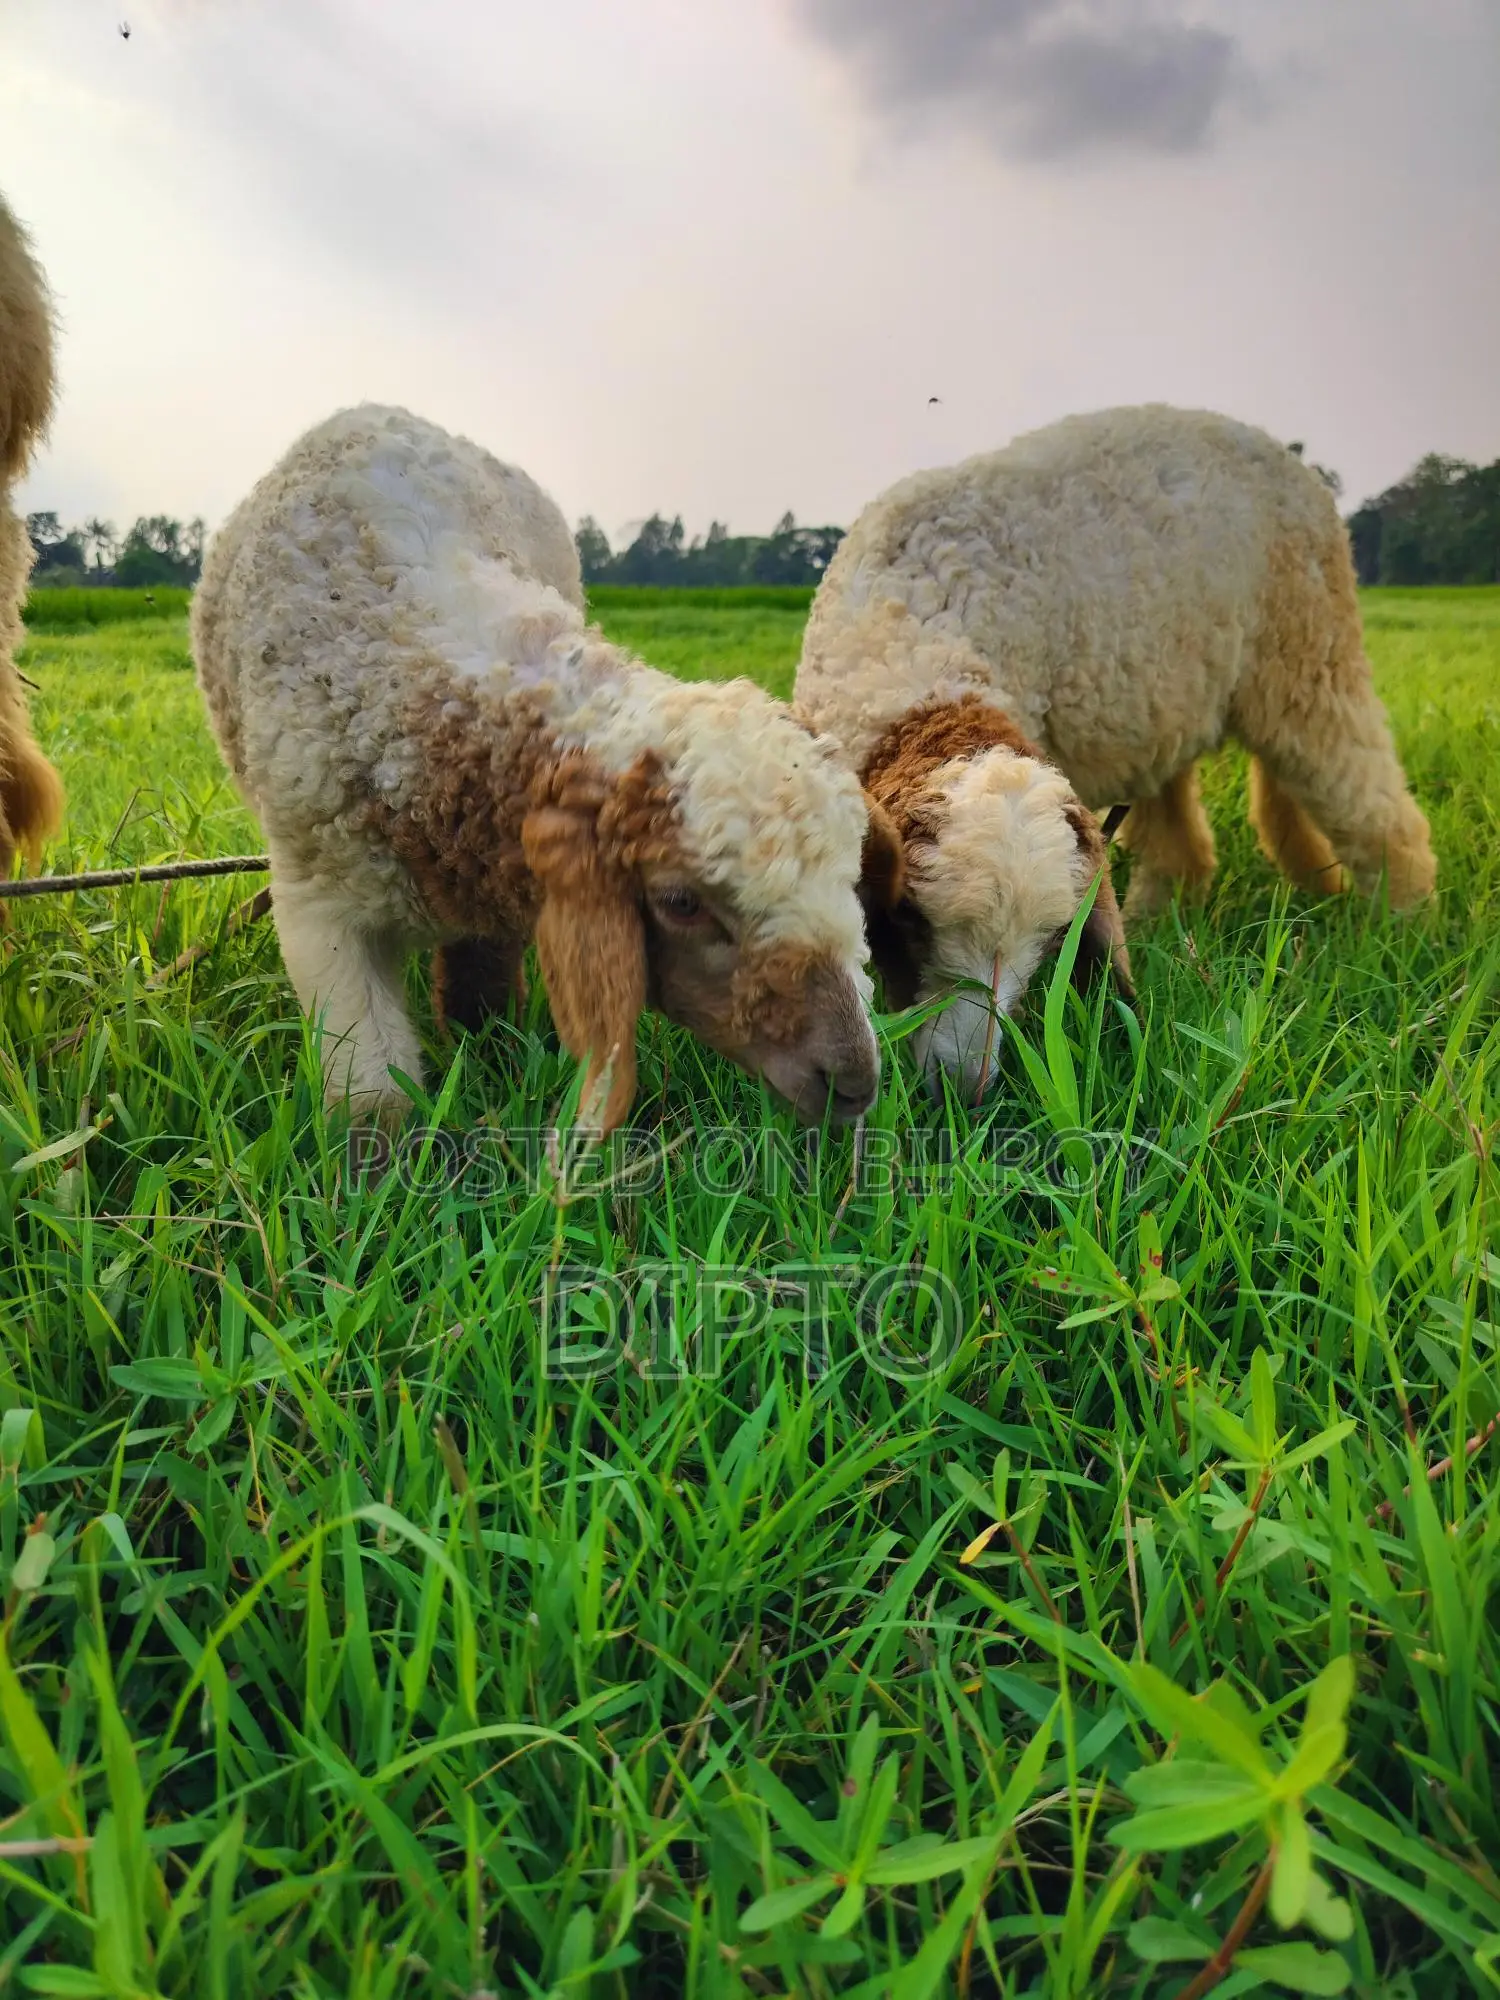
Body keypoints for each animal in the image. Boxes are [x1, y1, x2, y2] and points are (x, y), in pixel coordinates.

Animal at [191, 403, 899, 1133]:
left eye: (852, 878)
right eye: (680, 902)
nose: (852, 1083)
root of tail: (375, 412)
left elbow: (481, 1001)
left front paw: (495, 1073)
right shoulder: (319, 909)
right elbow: (373, 1105)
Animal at [795, 402, 1436, 1103]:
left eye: (1053, 939)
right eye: (910, 919)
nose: (965, 1089)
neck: (909, 643)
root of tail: (1286, 456)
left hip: (1308, 649)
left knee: (1368, 798)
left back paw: (1405, 926)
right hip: (1167, 695)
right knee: (1185, 841)